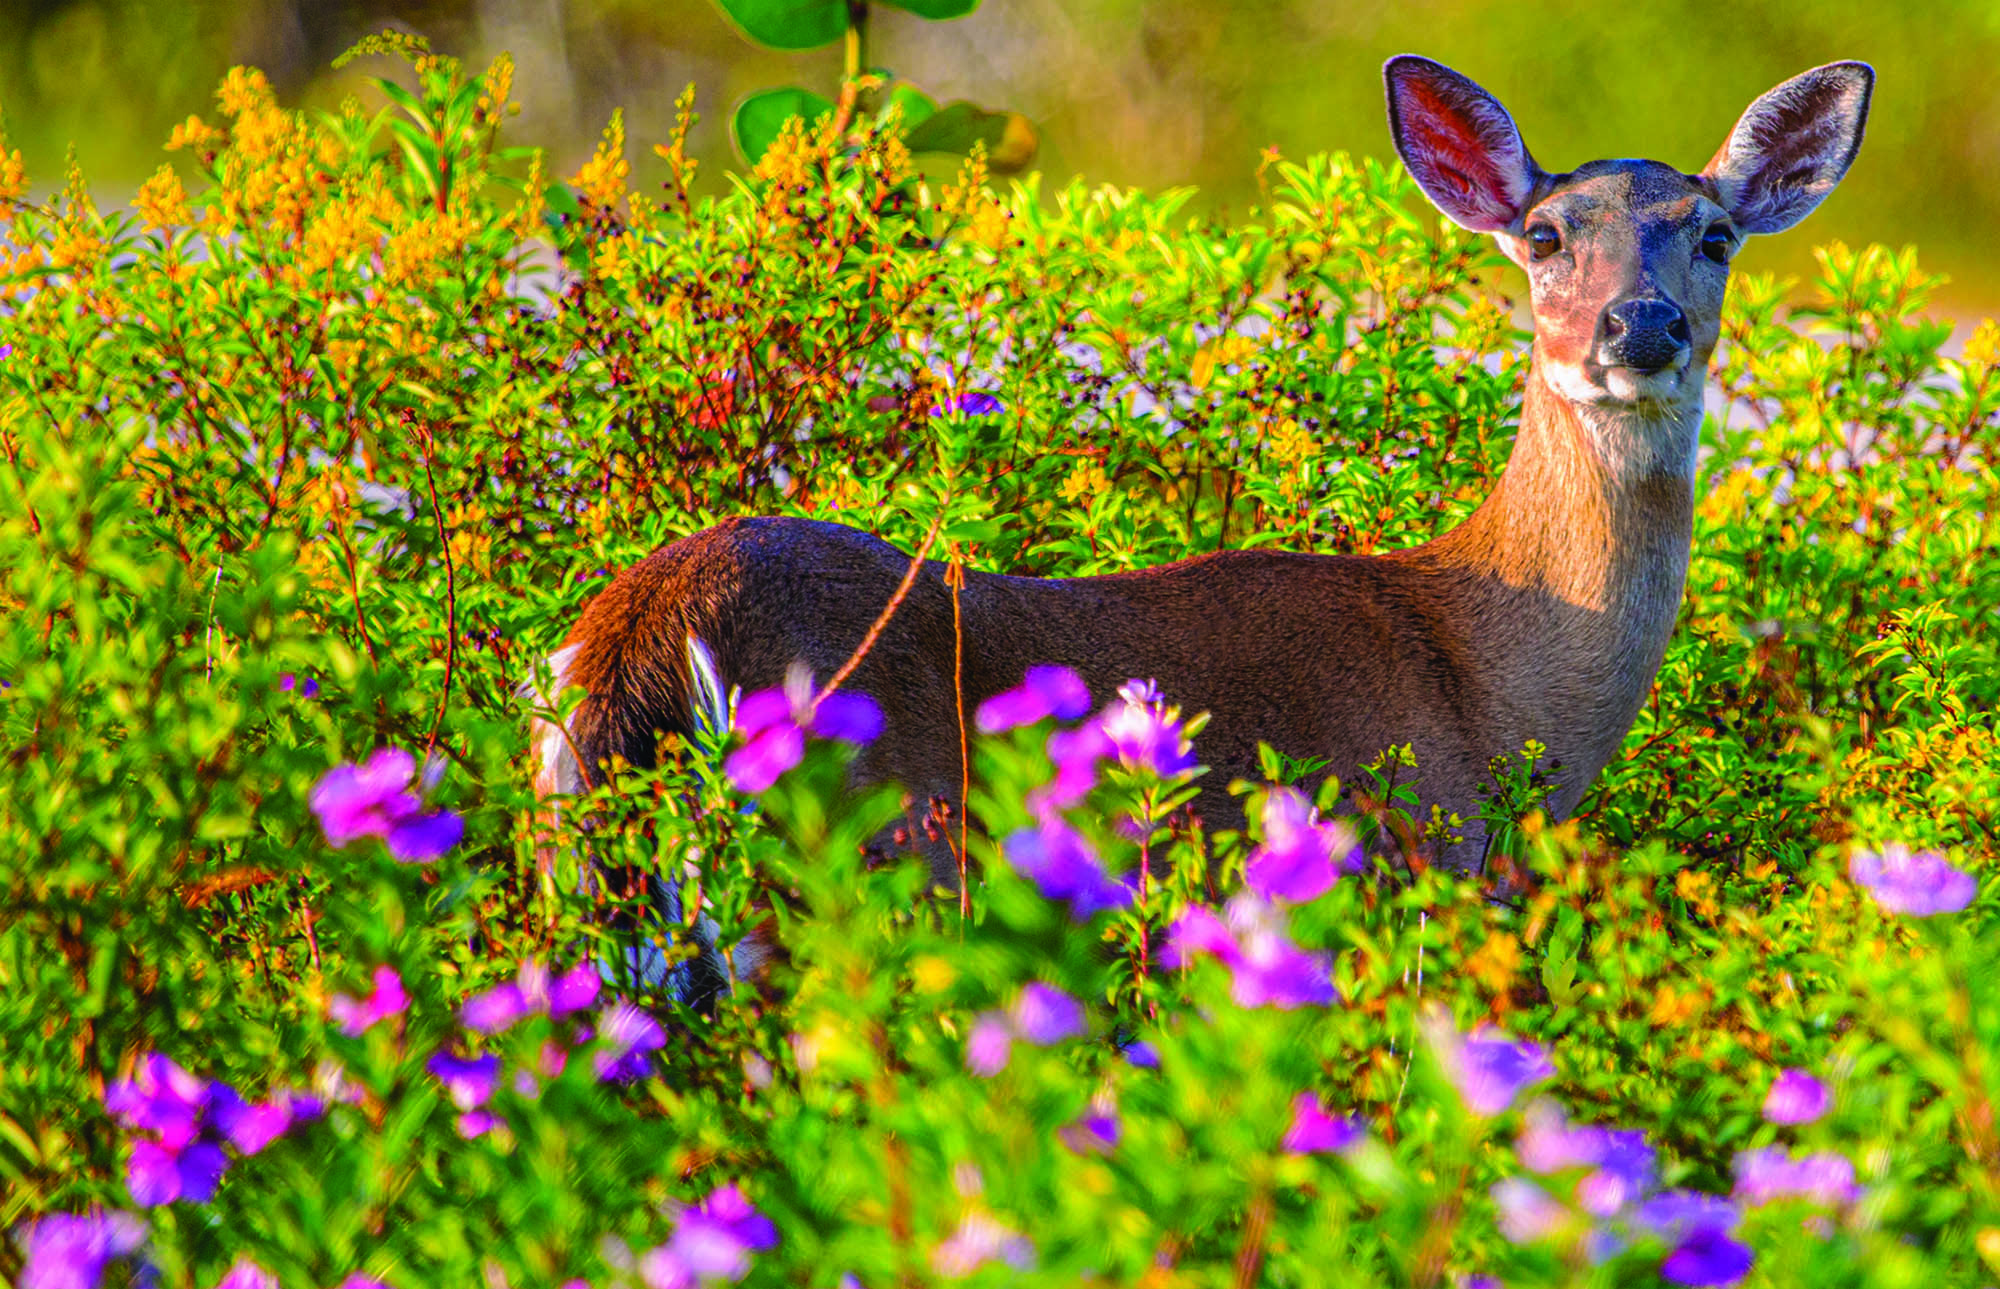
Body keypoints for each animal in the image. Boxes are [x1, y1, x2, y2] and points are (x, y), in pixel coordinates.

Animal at [530, 55, 1873, 914]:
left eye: (1713, 236)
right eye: (1543, 236)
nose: (1638, 326)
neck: (1487, 682)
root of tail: (635, 633)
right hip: (865, 846)